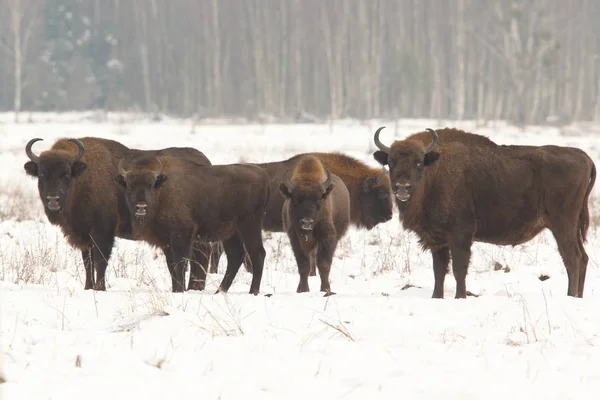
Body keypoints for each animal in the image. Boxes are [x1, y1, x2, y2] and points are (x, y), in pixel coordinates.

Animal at [24, 138, 216, 290]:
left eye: (66, 174)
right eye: (41, 174)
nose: (53, 200)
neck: (83, 178)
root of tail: (206, 162)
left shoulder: (102, 231)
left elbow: (100, 261)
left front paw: (100, 289)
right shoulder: (84, 235)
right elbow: (88, 263)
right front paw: (88, 287)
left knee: (201, 256)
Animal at [115, 155, 270, 292]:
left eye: (151, 185)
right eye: (129, 186)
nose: (141, 207)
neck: (162, 190)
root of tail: (262, 176)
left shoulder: (181, 236)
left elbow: (180, 265)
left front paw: (180, 290)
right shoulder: (166, 241)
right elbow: (172, 267)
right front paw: (176, 290)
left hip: (249, 226)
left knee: (257, 253)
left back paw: (253, 291)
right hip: (231, 233)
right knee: (235, 256)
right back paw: (219, 292)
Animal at [278, 155, 350, 296]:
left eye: (318, 200)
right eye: (295, 200)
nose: (307, 222)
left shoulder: (327, 237)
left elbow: (323, 263)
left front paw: (326, 289)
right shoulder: (295, 239)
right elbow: (303, 264)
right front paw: (303, 290)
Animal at [372, 126, 596, 298]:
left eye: (418, 163)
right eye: (390, 162)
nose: (402, 188)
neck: (434, 170)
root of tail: (585, 158)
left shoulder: (460, 235)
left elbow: (459, 269)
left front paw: (460, 297)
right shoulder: (438, 240)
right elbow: (439, 271)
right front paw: (437, 297)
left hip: (562, 225)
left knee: (573, 258)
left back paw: (570, 296)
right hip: (571, 226)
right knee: (583, 258)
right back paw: (578, 296)